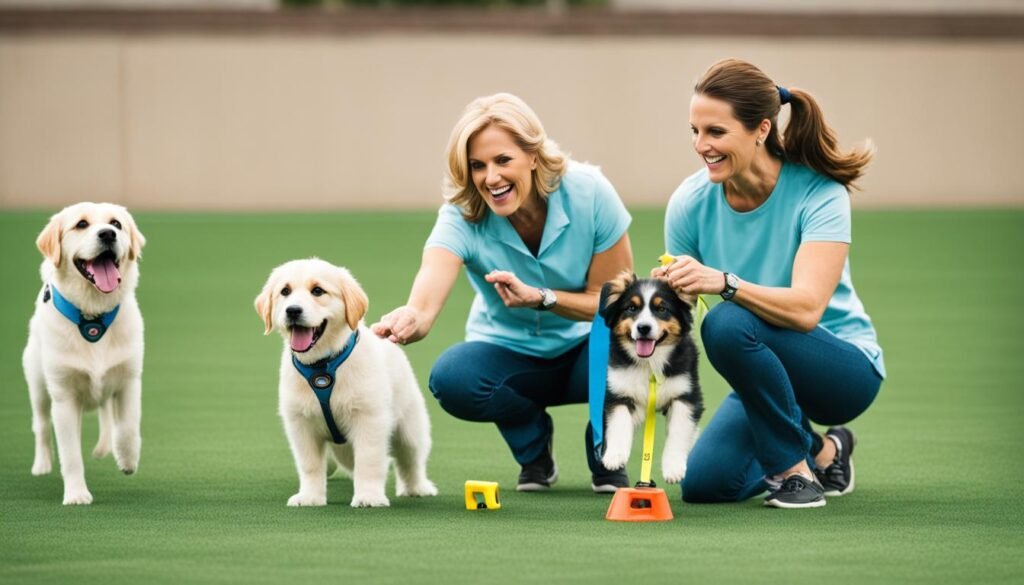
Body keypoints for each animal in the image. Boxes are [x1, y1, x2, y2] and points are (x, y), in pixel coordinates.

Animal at [22, 201, 147, 504]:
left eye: (116, 224)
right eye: (81, 224)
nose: (108, 234)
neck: (93, 317)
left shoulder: (129, 379)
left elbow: (127, 427)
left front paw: (127, 460)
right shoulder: (64, 396)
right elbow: (70, 454)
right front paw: (77, 494)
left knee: (108, 416)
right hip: (38, 384)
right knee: (41, 425)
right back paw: (42, 465)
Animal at [254, 258, 436, 510]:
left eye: (317, 291)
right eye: (285, 291)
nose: (293, 310)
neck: (322, 367)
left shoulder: (369, 419)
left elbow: (368, 461)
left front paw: (368, 496)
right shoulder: (300, 423)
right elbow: (310, 465)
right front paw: (310, 496)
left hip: (409, 427)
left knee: (411, 459)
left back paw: (417, 488)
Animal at [598, 274, 704, 485]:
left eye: (662, 309)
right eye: (631, 308)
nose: (644, 328)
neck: (650, 364)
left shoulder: (687, 394)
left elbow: (679, 430)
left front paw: (673, 468)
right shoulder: (618, 392)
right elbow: (619, 422)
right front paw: (614, 456)